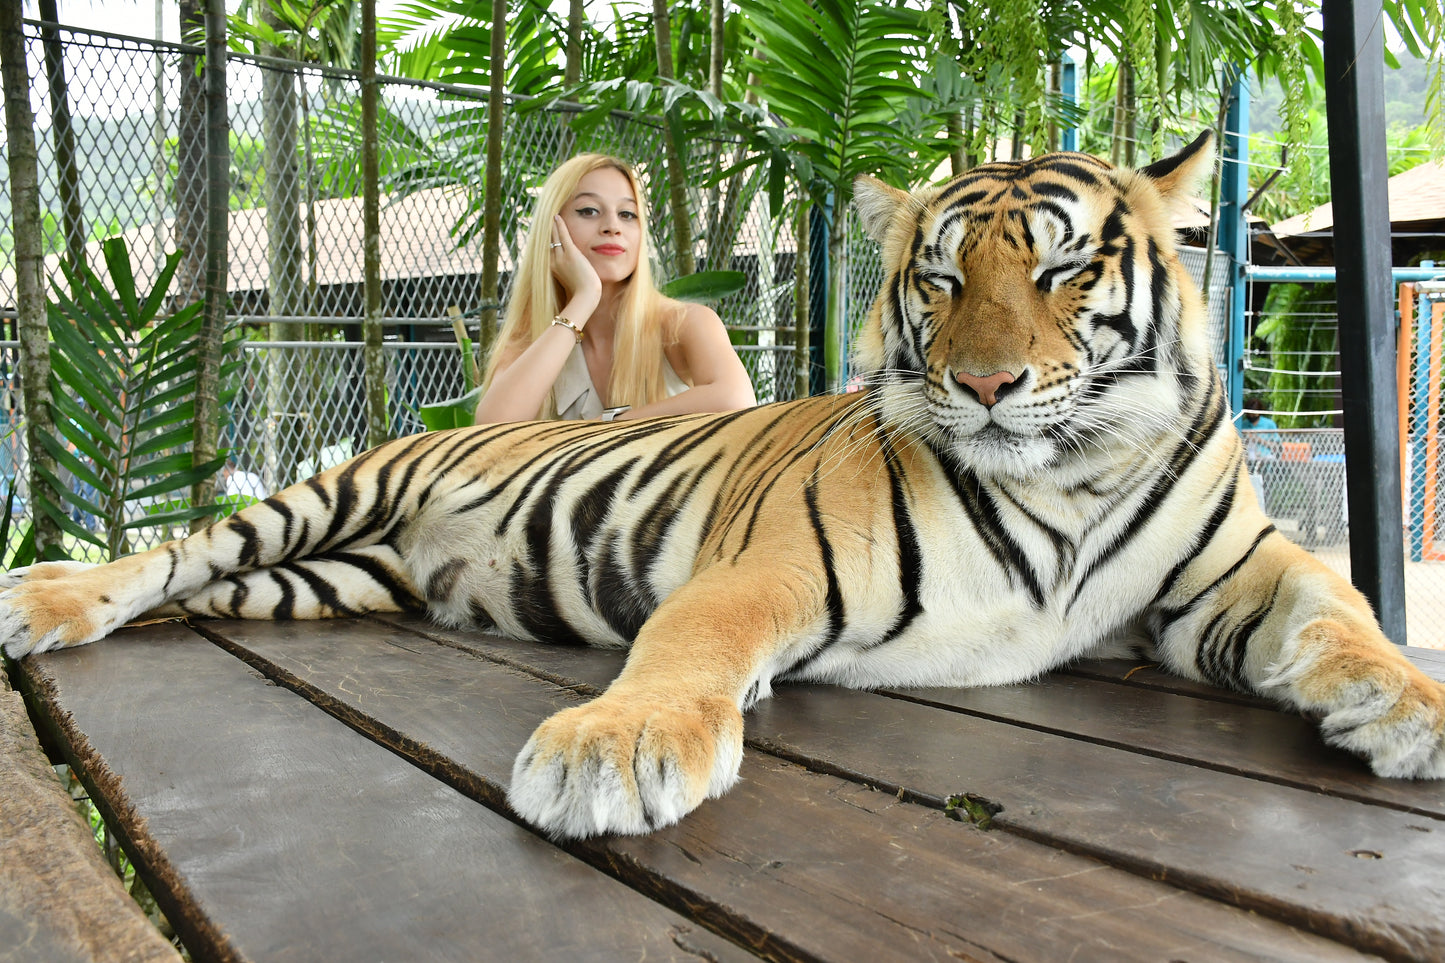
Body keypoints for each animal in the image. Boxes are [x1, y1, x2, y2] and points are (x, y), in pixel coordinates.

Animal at [3, 132, 1442, 841]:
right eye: (938, 279)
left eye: (1061, 267)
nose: (982, 385)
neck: (1071, 482)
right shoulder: (773, 564)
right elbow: (689, 642)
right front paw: (610, 749)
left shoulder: (1228, 575)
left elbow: (1342, 607)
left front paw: (1411, 705)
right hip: (326, 498)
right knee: (172, 555)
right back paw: (45, 594)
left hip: (333, 577)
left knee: (216, 589)